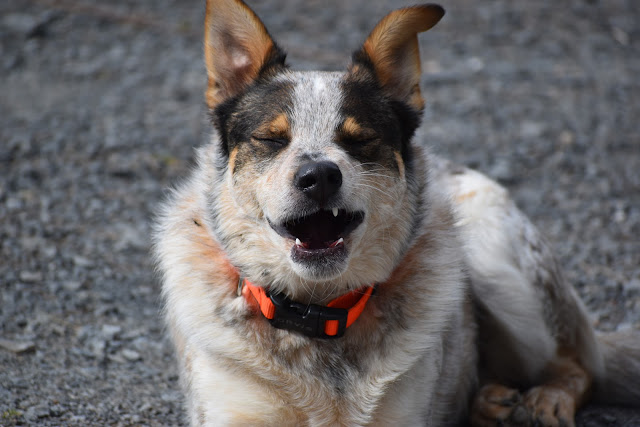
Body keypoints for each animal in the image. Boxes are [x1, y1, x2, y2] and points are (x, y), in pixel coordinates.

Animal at [153, 0, 640, 425]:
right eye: (272, 139)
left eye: (360, 139)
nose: (319, 176)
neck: (318, 315)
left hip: (496, 260)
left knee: (580, 366)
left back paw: (546, 400)